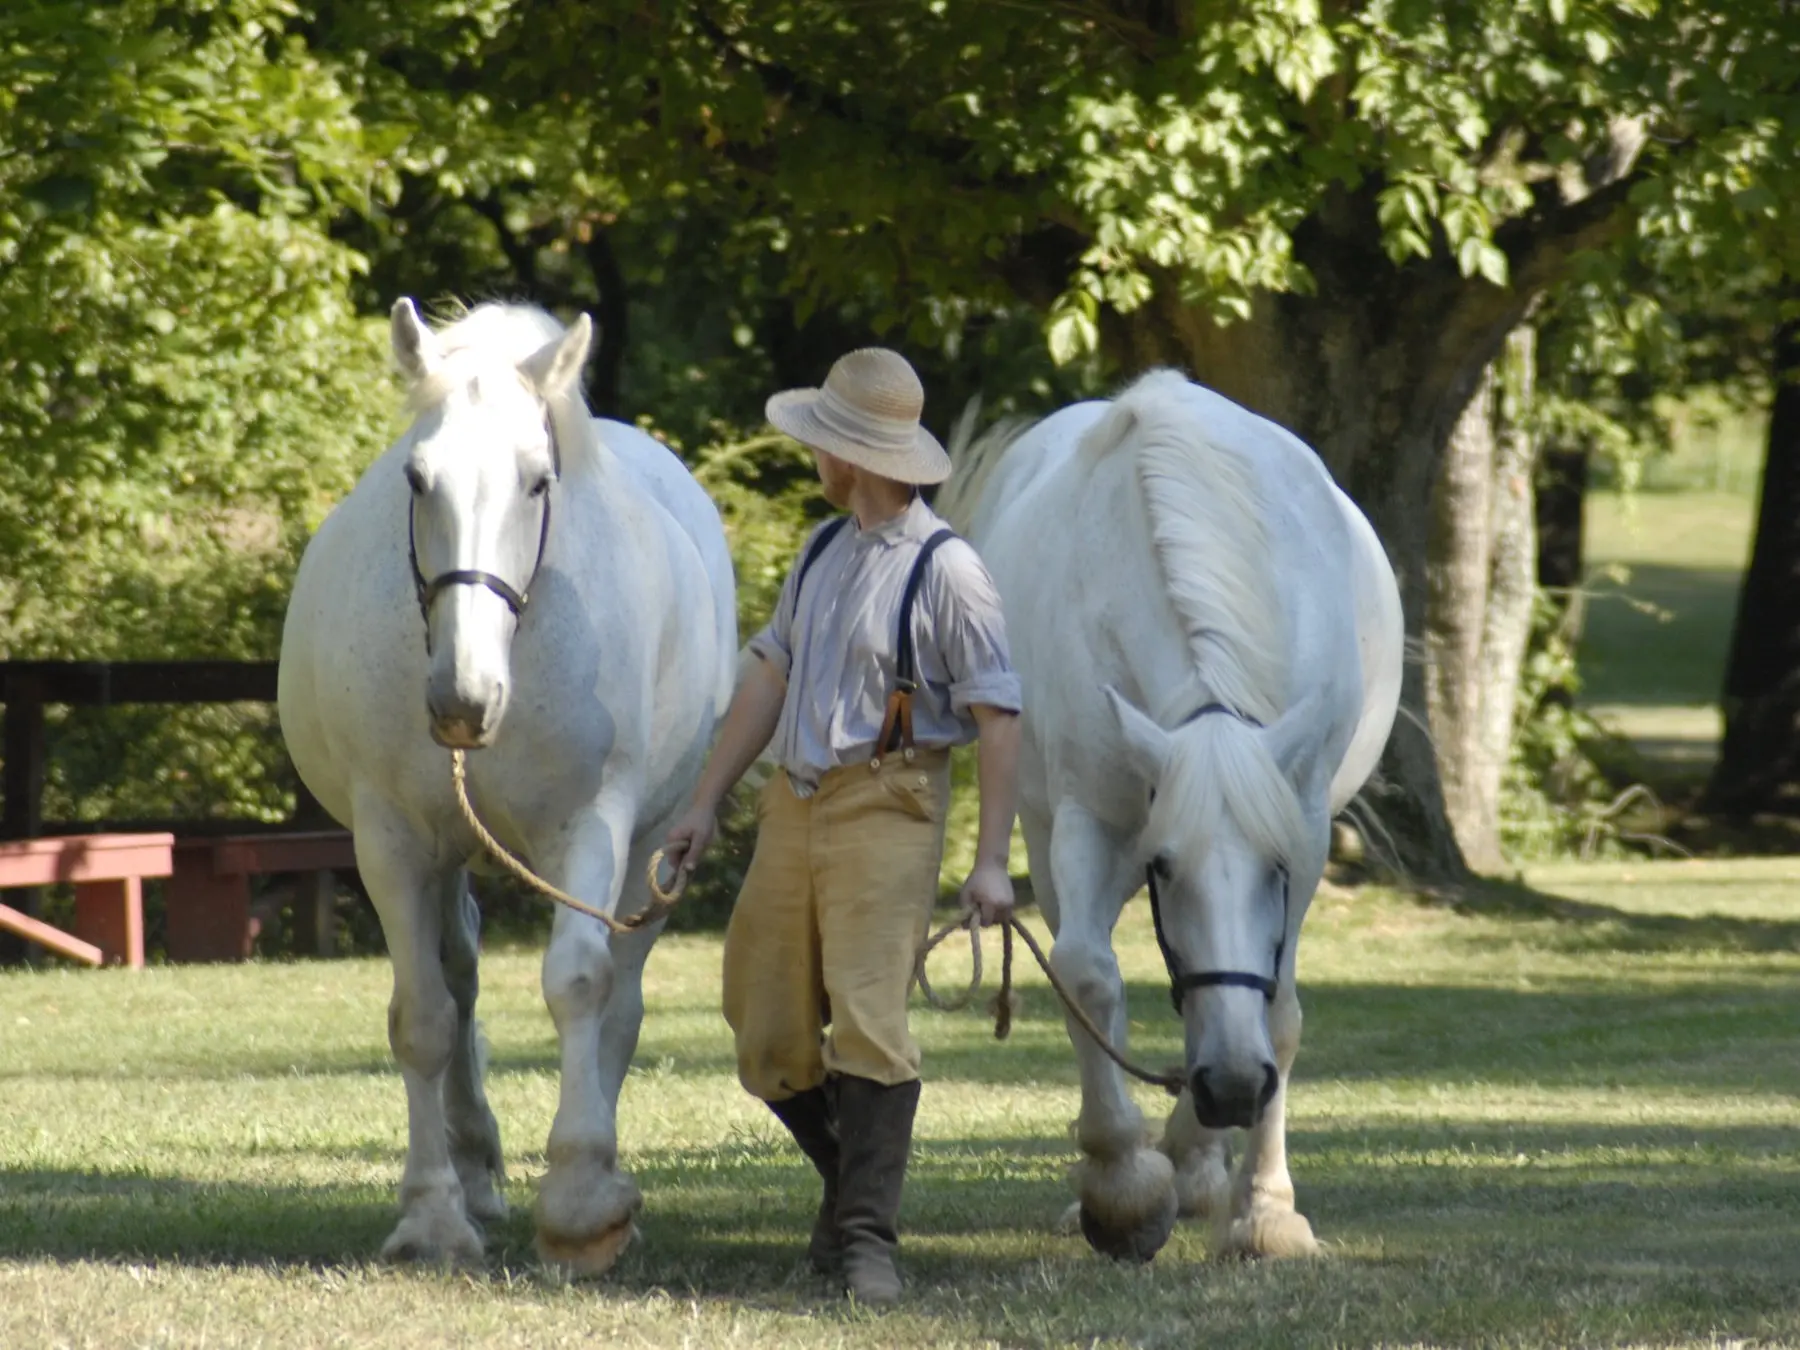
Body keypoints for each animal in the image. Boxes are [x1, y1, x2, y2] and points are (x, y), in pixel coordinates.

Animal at [277, 300, 734, 1274]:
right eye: (417, 478)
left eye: (536, 481)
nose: (464, 697)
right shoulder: (394, 841)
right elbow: (424, 1018)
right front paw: (432, 1215)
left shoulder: (591, 827)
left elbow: (580, 984)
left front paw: (582, 1200)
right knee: (459, 981)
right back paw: (477, 1169)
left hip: (654, 850)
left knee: (621, 999)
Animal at [943, 372, 1404, 1267]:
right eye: (1164, 866)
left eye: (1276, 867)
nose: (1233, 1086)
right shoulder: (1089, 821)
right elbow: (1087, 976)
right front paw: (1122, 1188)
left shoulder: (1305, 825)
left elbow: (1279, 1009)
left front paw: (1264, 1210)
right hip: (1048, 836)